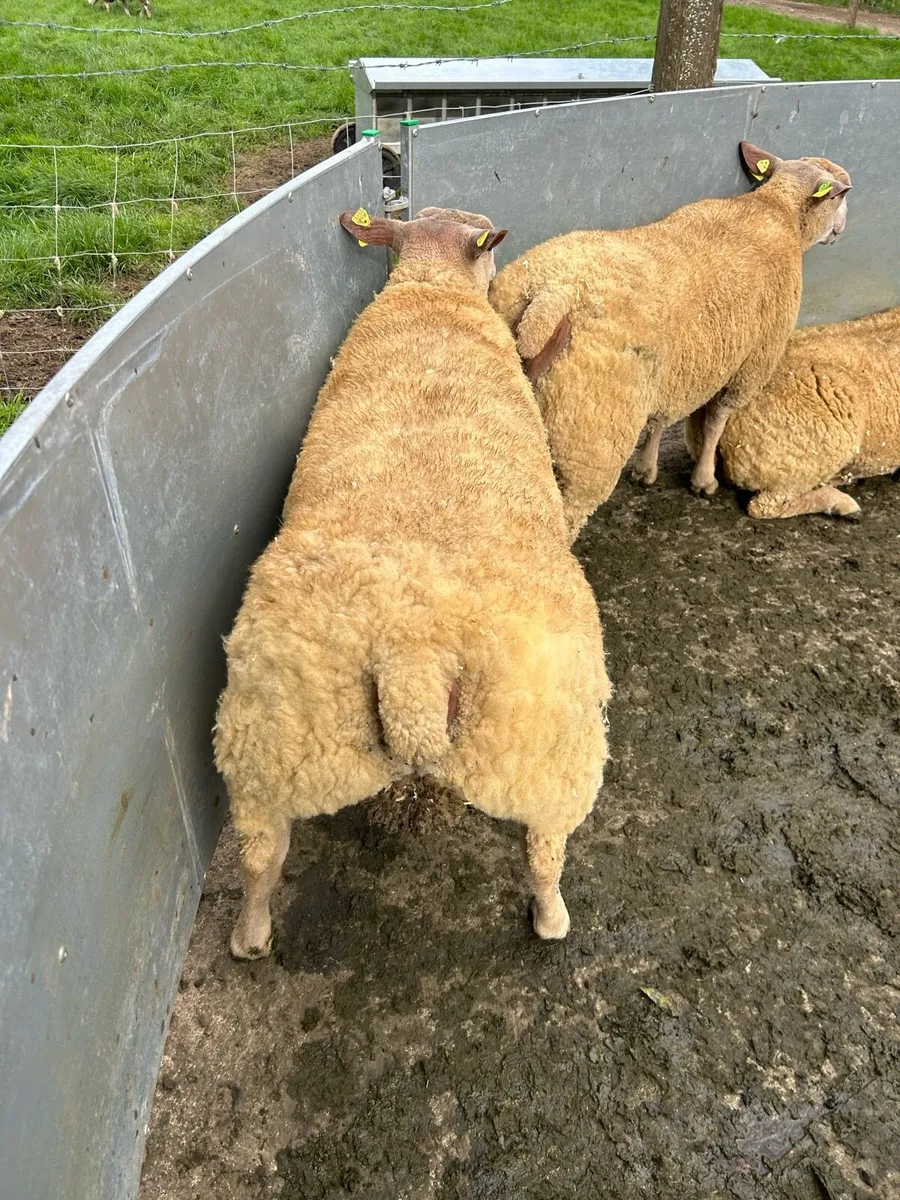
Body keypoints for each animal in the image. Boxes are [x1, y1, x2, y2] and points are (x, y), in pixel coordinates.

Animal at [213, 205, 611, 958]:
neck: (432, 290)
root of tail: (414, 658)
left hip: (271, 746)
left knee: (259, 857)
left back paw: (252, 936)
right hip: (551, 755)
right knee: (547, 853)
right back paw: (551, 918)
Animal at [489, 141, 851, 541]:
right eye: (841, 195)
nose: (841, 230)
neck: (775, 210)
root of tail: (553, 296)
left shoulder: (679, 366)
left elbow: (662, 417)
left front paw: (646, 469)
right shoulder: (751, 363)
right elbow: (716, 420)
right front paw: (704, 480)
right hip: (590, 437)